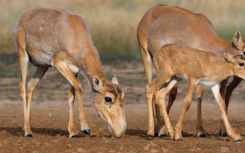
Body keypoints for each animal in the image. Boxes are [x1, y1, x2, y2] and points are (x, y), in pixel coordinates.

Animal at [13, 7, 126, 137]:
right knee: (22, 87)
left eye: (123, 96)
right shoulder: (59, 63)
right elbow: (79, 86)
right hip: (23, 56)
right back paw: (27, 131)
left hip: (43, 66)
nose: (120, 131)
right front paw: (85, 128)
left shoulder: (74, 69)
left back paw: (26, 128)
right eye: (108, 98)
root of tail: (23, 17)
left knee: (30, 86)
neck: (74, 33)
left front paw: (72, 132)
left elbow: (72, 95)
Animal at [137, 4, 244, 137]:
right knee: (152, 88)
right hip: (147, 58)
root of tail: (149, 12)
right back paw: (156, 130)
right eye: (243, 54)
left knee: (158, 91)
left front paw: (207, 130)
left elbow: (210, 97)